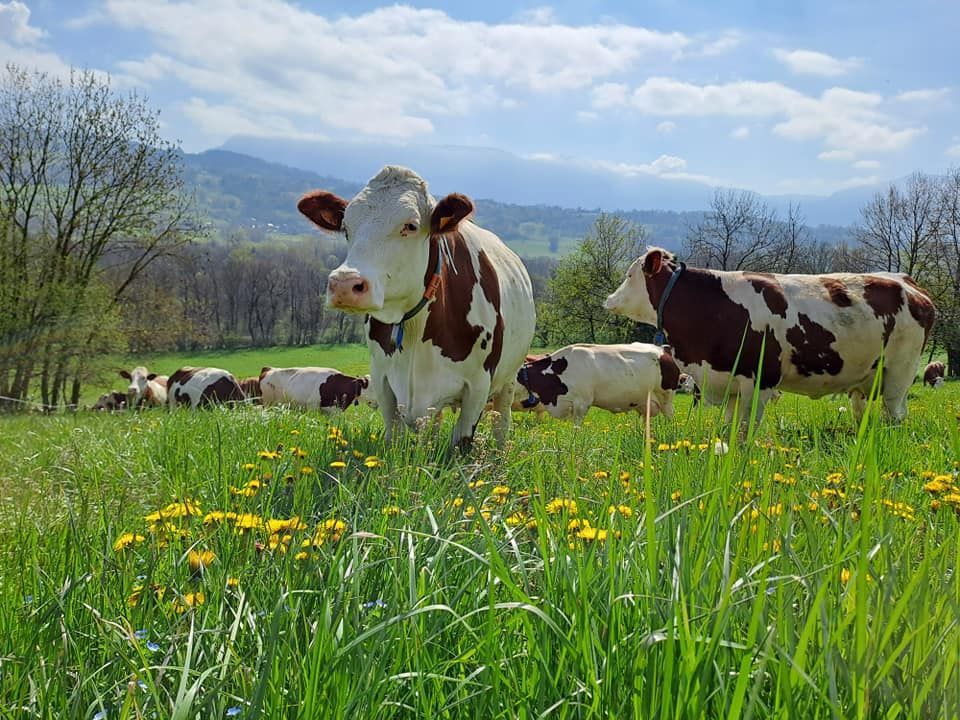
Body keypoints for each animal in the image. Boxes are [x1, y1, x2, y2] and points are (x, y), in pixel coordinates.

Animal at [296, 169, 536, 450]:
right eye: (346, 228)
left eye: (410, 226)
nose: (344, 283)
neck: (413, 327)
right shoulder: (382, 379)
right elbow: (394, 437)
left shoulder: (478, 387)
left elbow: (462, 443)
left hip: (509, 379)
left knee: (501, 422)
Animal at [604, 245, 932, 424]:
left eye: (629, 275)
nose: (608, 298)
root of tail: (906, 280)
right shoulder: (729, 383)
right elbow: (730, 429)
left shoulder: (760, 379)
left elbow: (746, 431)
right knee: (863, 409)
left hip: (901, 371)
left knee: (895, 413)